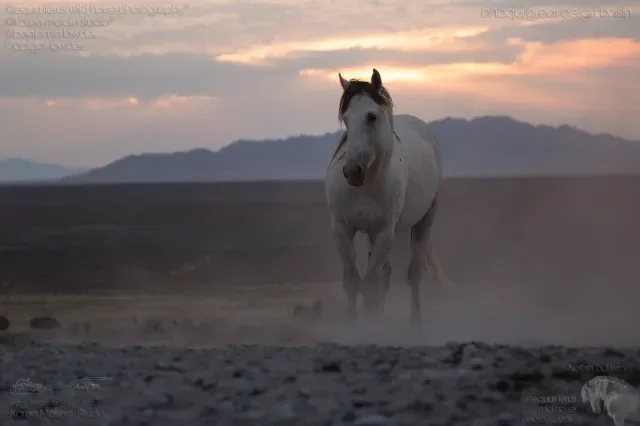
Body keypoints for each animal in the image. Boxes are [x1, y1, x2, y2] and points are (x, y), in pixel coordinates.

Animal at [324, 68, 449, 327]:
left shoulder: (383, 232)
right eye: (346, 119)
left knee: (414, 274)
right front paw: (352, 325)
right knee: (386, 274)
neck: (365, 187)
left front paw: (372, 327)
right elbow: (353, 282)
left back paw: (415, 325)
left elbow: (370, 284)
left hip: (425, 220)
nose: (352, 171)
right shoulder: (342, 229)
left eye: (372, 116)